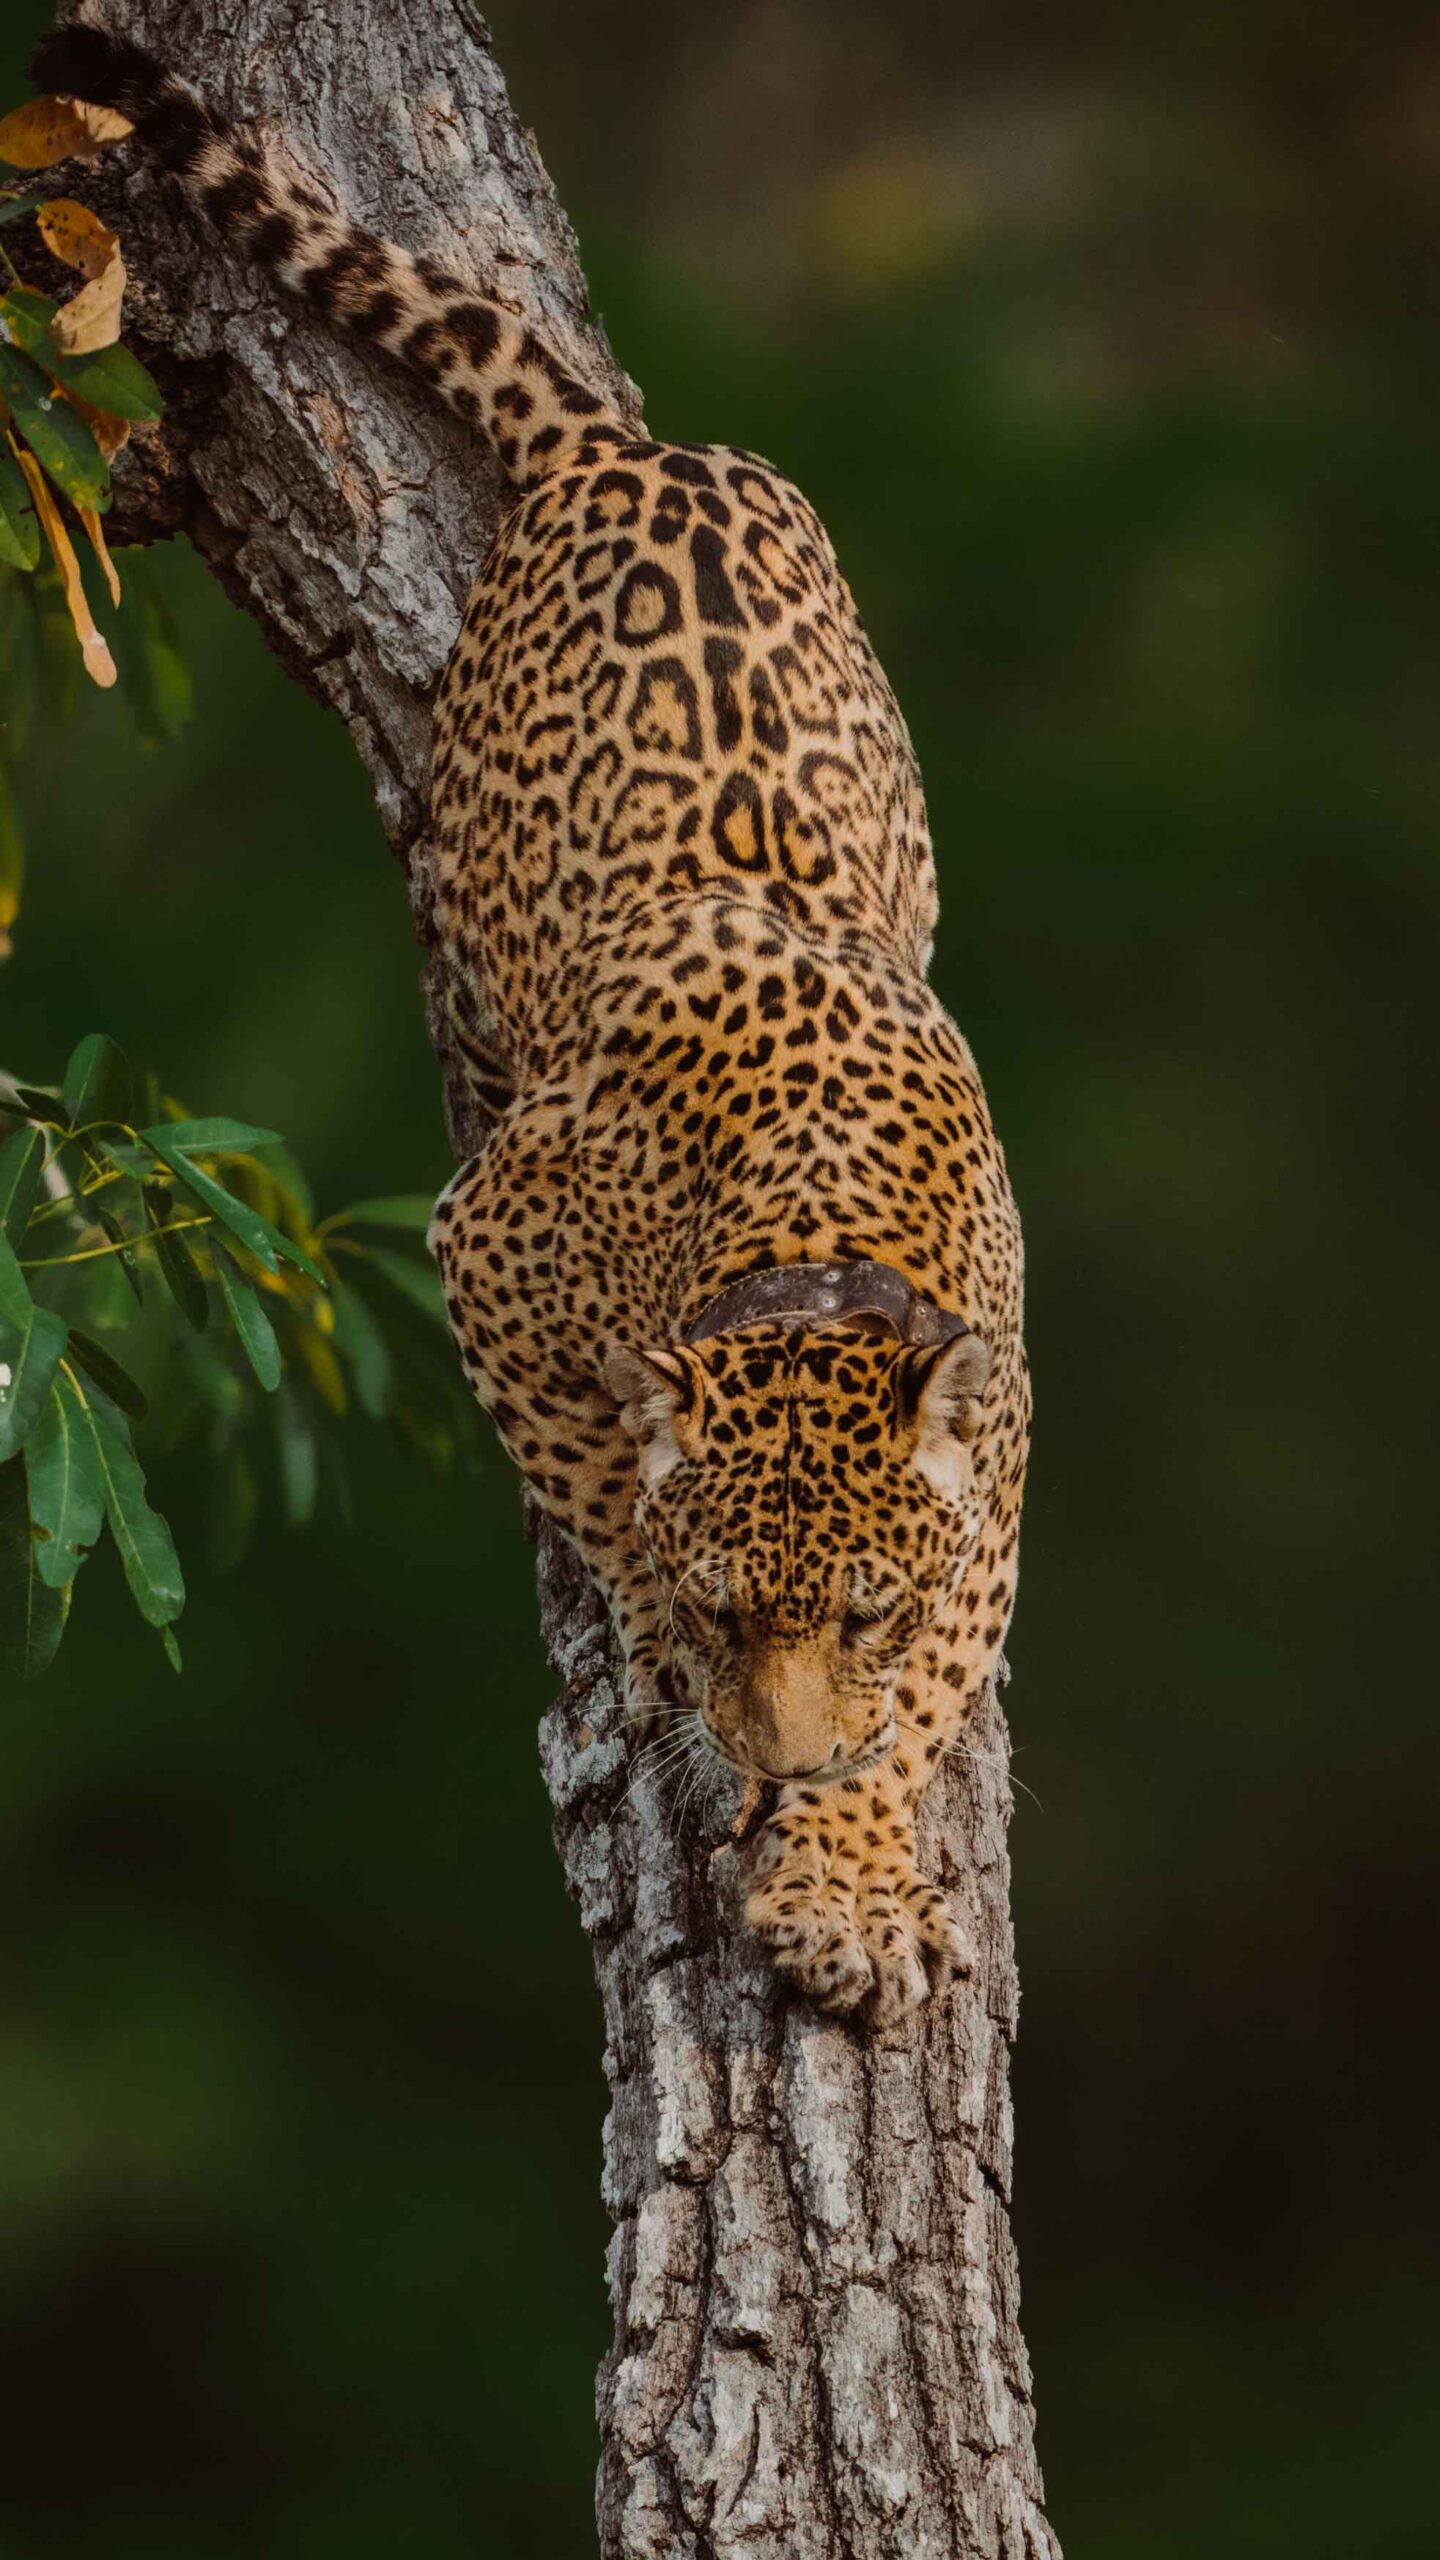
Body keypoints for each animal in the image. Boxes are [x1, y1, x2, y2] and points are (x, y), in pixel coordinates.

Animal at [39, 20, 1024, 2017]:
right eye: (732, 1610)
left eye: (859, 1612)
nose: (777, 1760)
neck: (809, 1224)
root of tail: (621, 450)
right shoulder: (489, 1237)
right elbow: (595, 1472)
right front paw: (653, 1634)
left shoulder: (1010, 1429)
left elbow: (938, 1678)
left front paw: (849, 1855)